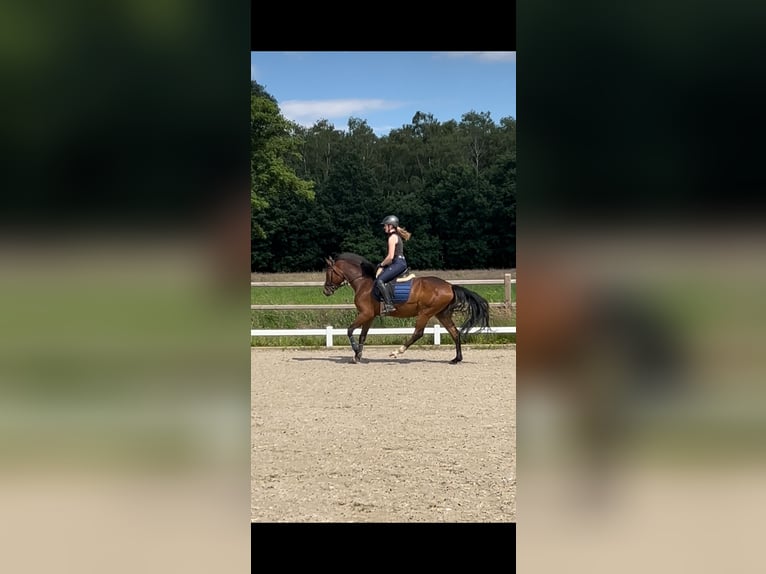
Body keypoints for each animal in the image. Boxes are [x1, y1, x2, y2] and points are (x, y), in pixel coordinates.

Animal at [322, 254, 492, 366]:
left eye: (328, 272)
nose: (326, 291)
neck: (363, 283)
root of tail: (449, 285)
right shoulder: (369, 316)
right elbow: (363, 336)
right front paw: (358, 355)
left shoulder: (365, 314)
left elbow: (350, 330)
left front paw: (356, 352)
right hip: (442, 314)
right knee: (455, 333)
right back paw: (456, 359)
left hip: (425, 313)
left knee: (418, 333)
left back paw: (397, 352)